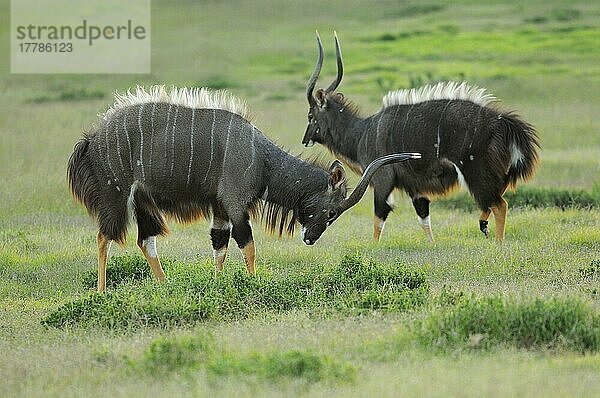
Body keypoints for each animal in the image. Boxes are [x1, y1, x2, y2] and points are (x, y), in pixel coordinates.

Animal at [68, 86, 420, 292]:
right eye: (332, 211)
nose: (310, 238)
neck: (260, 158)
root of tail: (93, 138)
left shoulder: (220, 209)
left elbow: (220, 247)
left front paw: (218, 284)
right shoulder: (236, 205)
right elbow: (247, 245)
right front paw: (253, 285)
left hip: (142, 202)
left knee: (145, 240)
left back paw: (165, 286)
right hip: (116, 195)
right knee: (104, 237)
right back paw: (101, 292)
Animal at [302, 32, 540, 243]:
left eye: (311, 115)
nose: (305, 140)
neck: (363, 131)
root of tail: (503, 121)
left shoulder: (382, 180)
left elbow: (379, 219)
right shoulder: (416, 189)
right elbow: (424, 219)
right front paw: (432, 245)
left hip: (476, 174)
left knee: (499, 205)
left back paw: (498, 242)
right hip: (497, 176)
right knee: (493, 202)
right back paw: (483, 226)